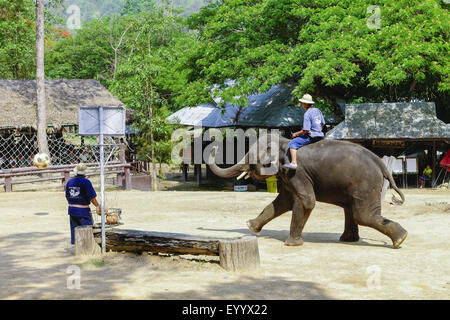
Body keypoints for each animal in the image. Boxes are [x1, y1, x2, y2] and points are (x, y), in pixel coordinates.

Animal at [207, 134, 408, 249]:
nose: (214, 146)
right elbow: (283, 202)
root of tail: (381, 163)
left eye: (251, 157)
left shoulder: (297, 172)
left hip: (365, 184)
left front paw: (291, 244)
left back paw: (400, 239)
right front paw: (250, 226)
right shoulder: (287, 175)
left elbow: (306, 201)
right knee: (351, 210)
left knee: (362, 215)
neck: (284, 142)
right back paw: (349, 240)